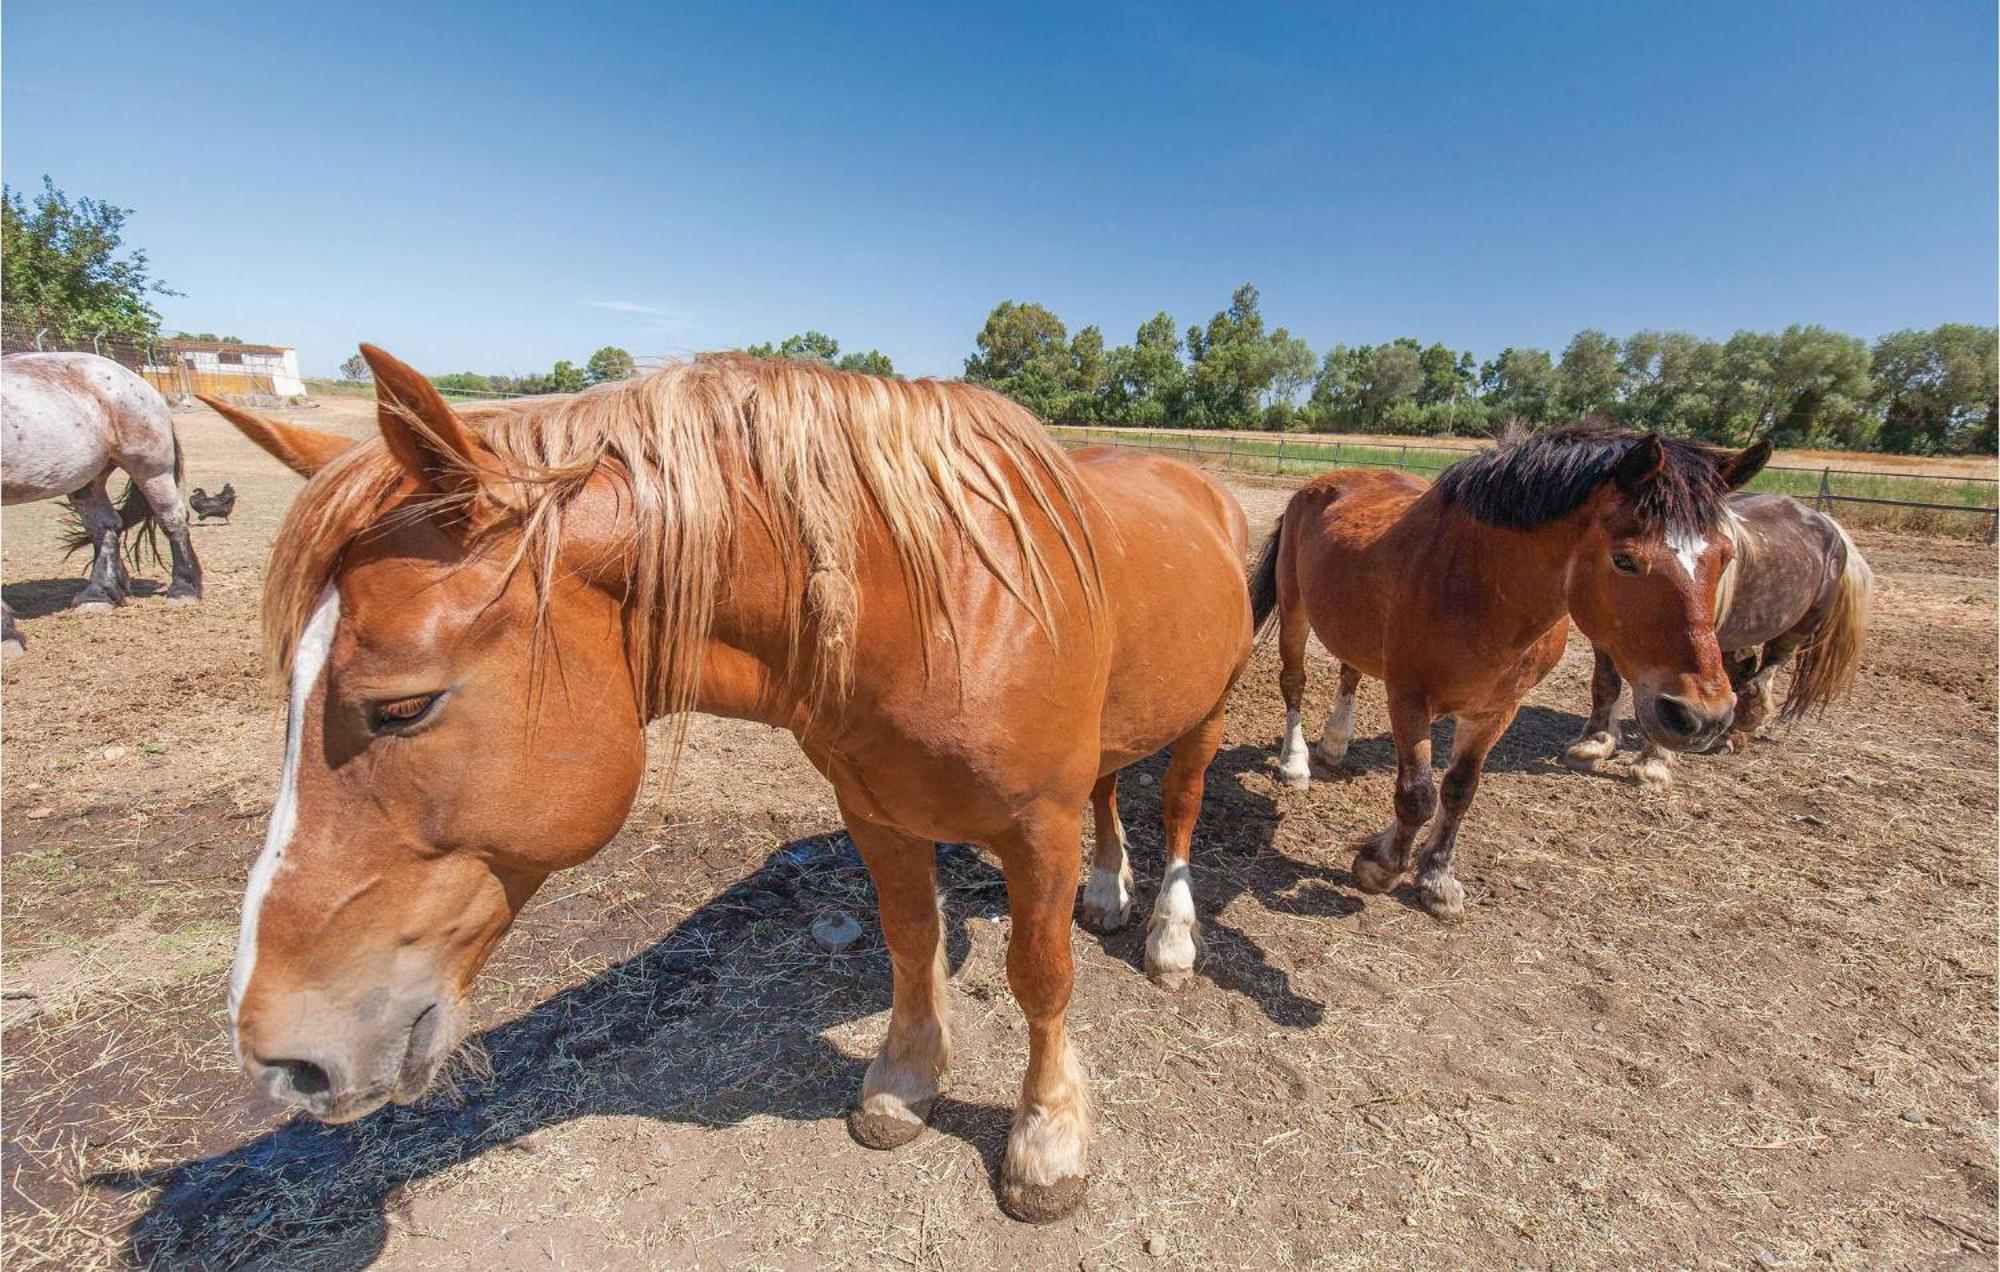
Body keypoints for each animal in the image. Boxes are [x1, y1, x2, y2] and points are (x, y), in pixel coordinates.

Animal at [0, 348, 205, 652]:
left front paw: (6, 634)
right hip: (88, 479)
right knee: (105, 526)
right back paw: (98, 595)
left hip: (151, 468)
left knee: (171, 518)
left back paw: (183, 589)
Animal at [195, 346, 1240, 1224]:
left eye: (403, 708)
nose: (280, 1058)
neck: (935, 606)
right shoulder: (876, 813)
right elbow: (911, 942)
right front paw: (904, 1083)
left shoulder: (1037, 828)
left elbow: (1041, 974)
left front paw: (1048, 1142)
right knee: (1113, 791)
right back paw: (1107, 892)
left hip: (1208, 713)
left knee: (1179, 808)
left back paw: (1168, 936)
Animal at [1256, 428, 1776, 916]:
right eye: (1625, 559)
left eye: (1726, 557)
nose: (1703, 715)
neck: (1481, 586)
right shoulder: (1408, 697)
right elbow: (1418, 795)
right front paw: (1379, 867)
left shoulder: (1498, 706)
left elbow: (1459, 790)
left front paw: (1437, 878)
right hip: (1295, 609)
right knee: (1294, 684)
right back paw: (1295, 763)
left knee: (1350, 671)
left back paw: (1335, 743)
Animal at [1560, 492, 1872, 792]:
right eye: (1623, 560)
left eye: (1725, 559)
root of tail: (1829, 525)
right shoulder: (1607, 637)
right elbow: (1606, 685)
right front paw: (1594, 744)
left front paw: (1654, 764)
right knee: (1744, 674)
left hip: (1796, 630)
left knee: (1764, 674)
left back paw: (1739, 728)